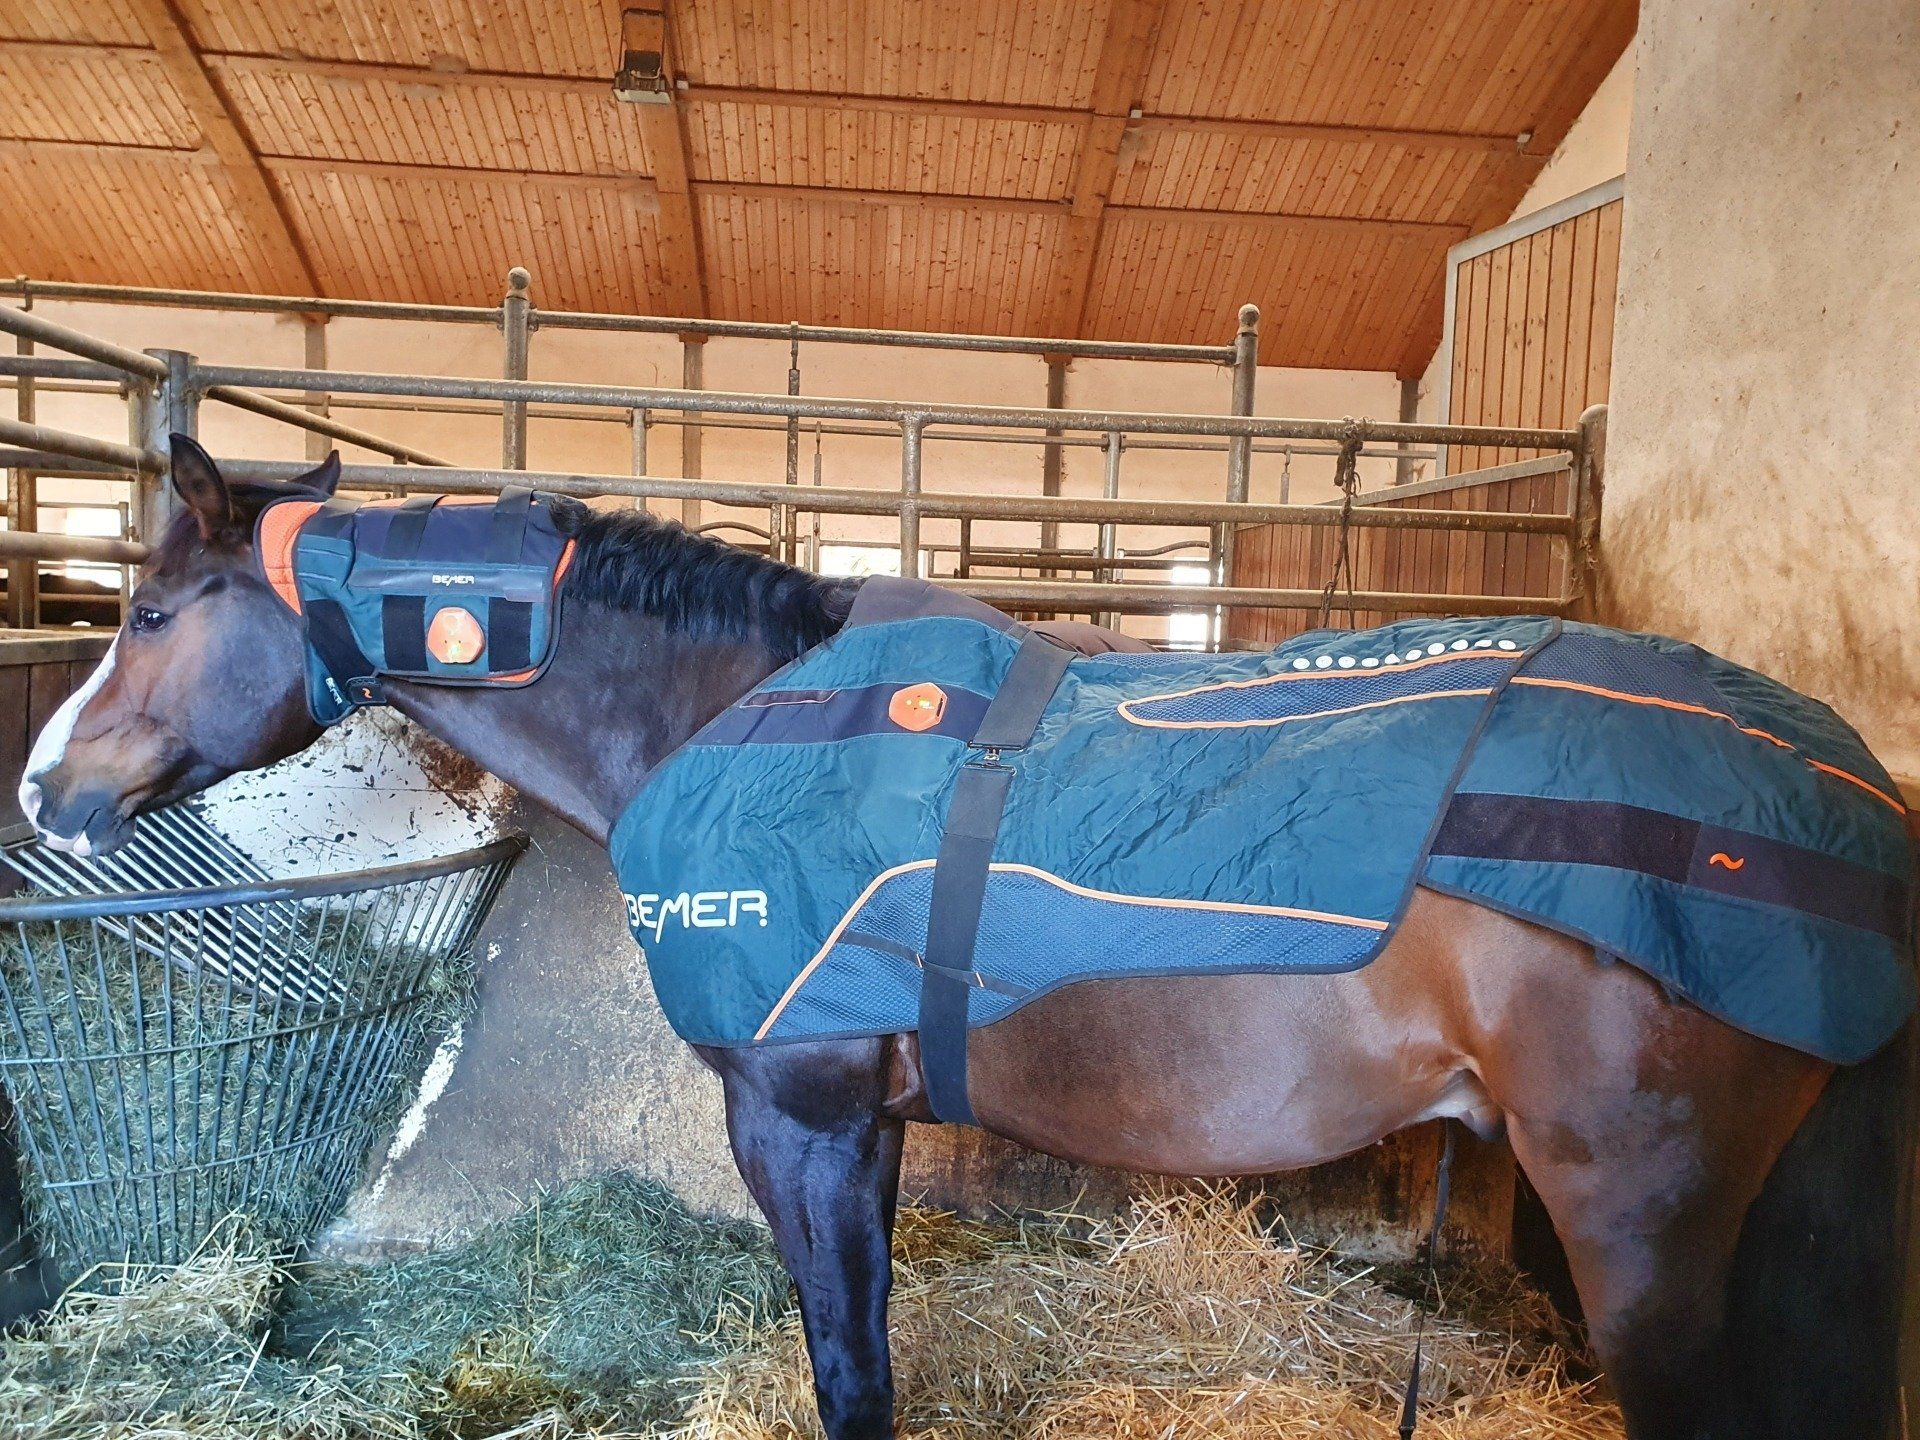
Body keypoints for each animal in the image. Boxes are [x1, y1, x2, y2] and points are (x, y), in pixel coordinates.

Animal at [15, 440, 1914, 1440]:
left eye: (156, 611)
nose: (47, 787)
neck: (752, 718)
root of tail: (1839, 785)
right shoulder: (847, 1134)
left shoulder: (804, 1121)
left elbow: (851, 1369)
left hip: (1640, 1223)